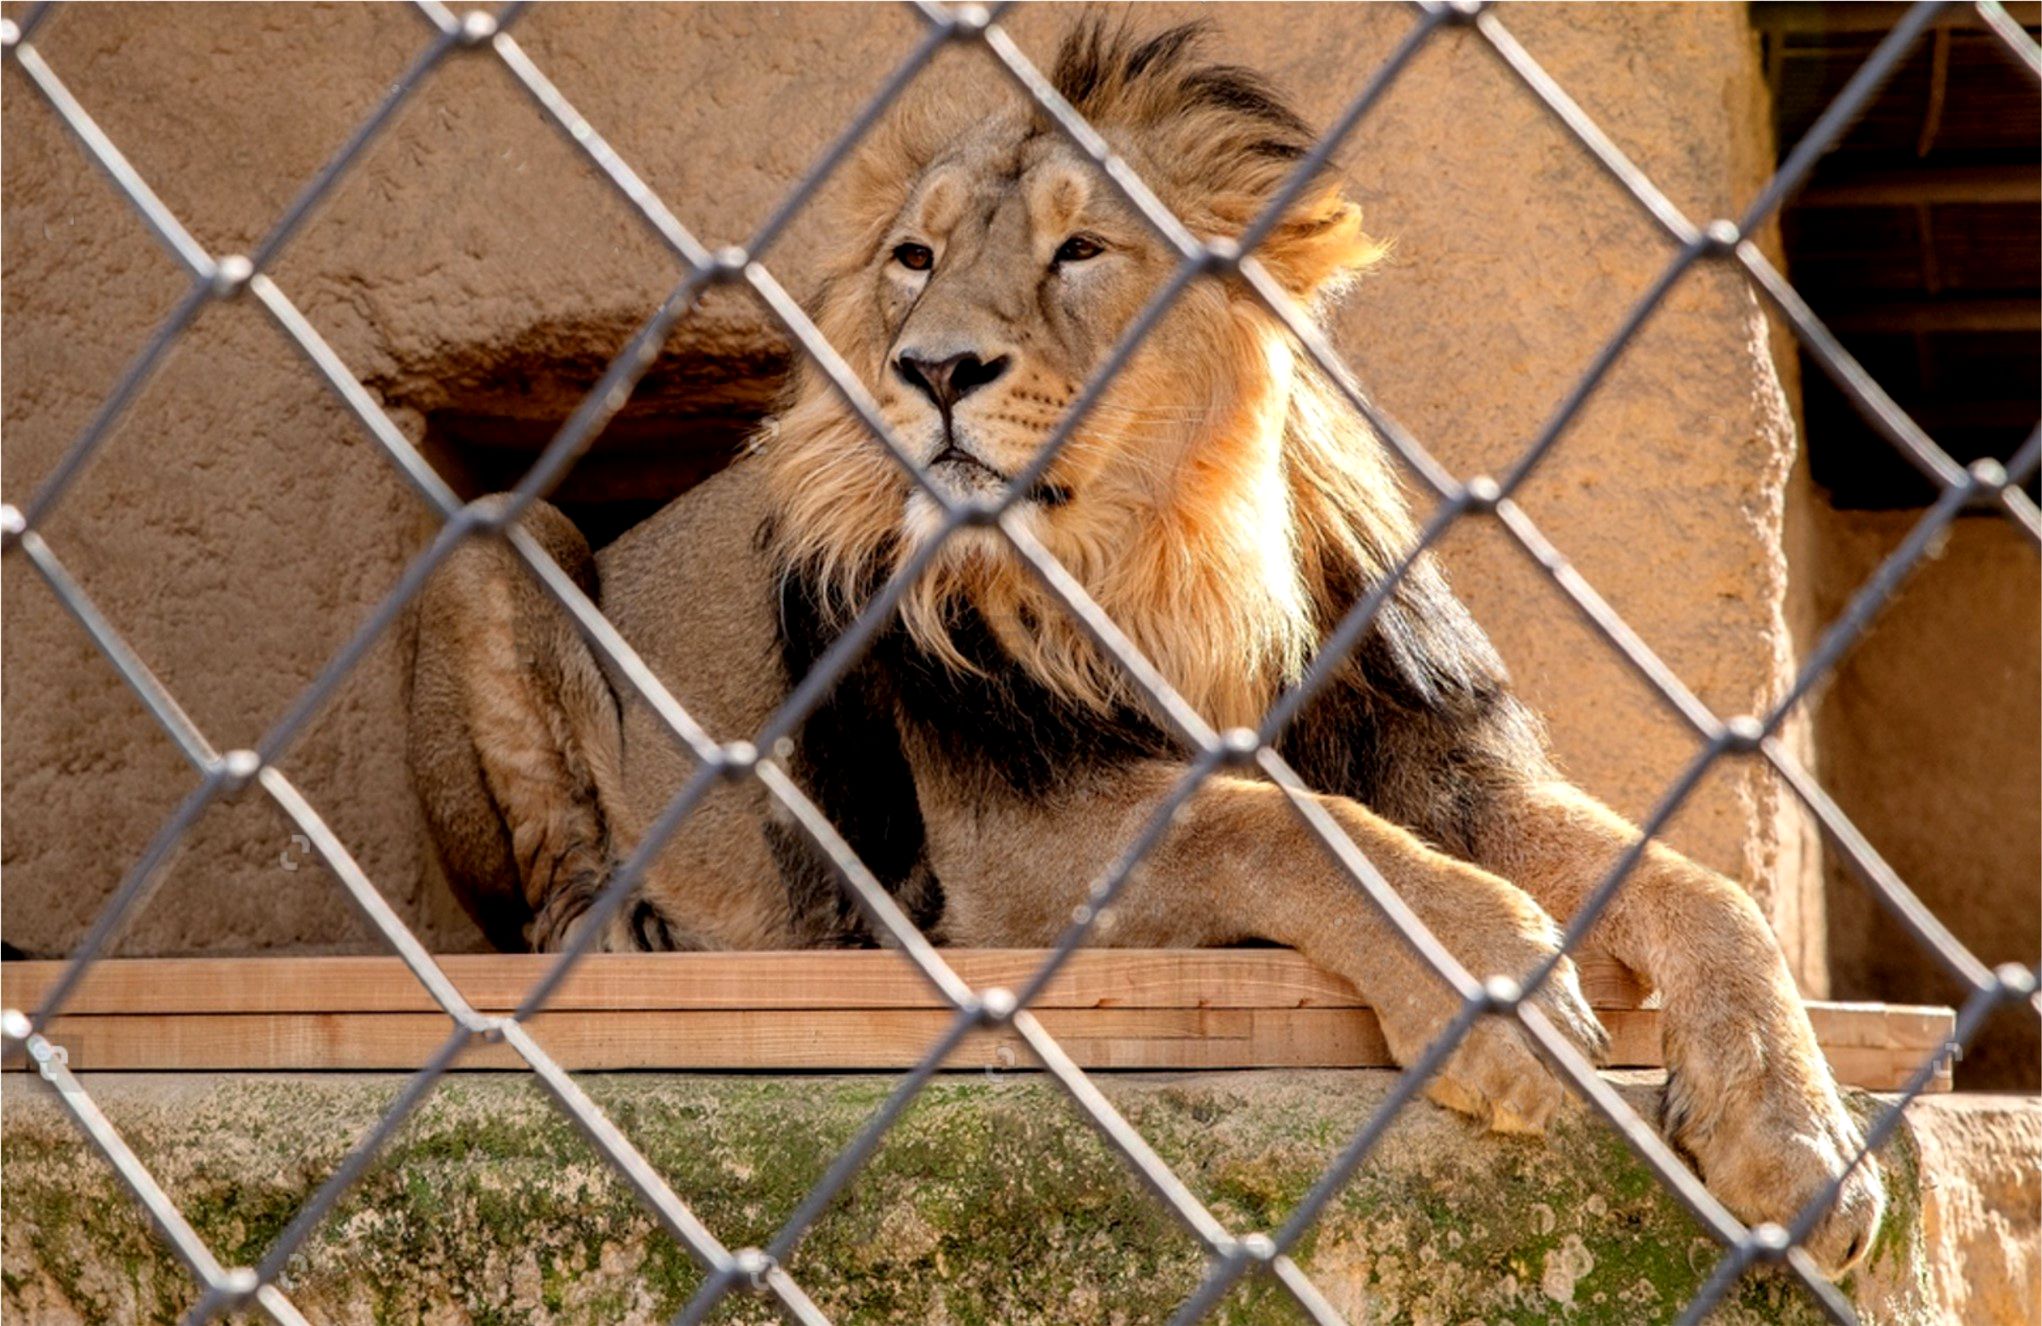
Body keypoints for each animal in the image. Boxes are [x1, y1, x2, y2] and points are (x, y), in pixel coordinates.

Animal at [407, 20, 1884, 1276]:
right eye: (912, 259)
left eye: (1081, 250)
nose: (933, 370)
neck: (1163, 561)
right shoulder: (1007, 854)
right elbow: (1268, 821)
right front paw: (1494, 988)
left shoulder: (1441, 766)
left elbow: (1704, 887)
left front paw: (1795, 1132)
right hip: (502, 535)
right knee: (546, 889)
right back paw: (639, 938)